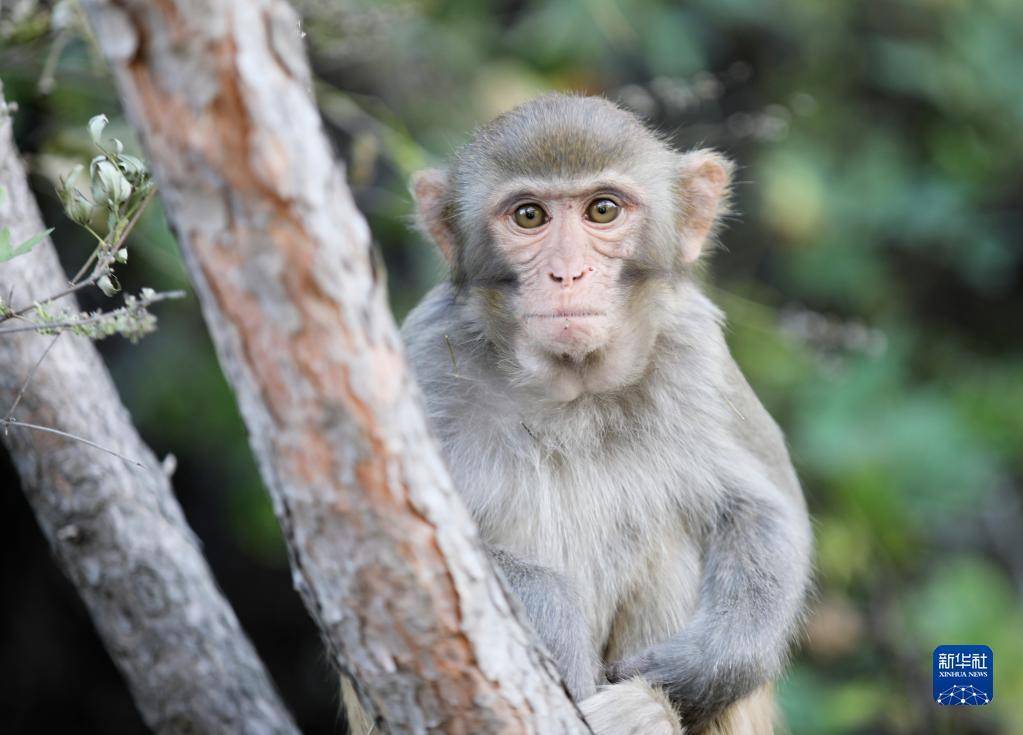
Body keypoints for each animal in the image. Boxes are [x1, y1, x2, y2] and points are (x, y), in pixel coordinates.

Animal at [347, 93, 810, 735]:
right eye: (529, 217)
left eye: (603, 210)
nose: (567, 273)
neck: (572, 390)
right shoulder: (424, 361)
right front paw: (553, 614)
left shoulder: (698, 358)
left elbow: (766, 509)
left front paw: (694, 668)